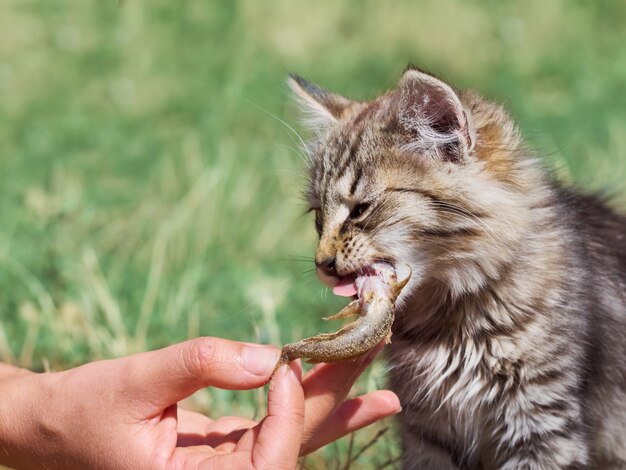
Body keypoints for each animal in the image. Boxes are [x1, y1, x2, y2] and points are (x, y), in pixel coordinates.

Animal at [288, 67, 624, 470]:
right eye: (318, 217)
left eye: (360, 209)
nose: (322, 263)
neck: (448, 326)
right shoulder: (426, 433)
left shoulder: (542, 423)